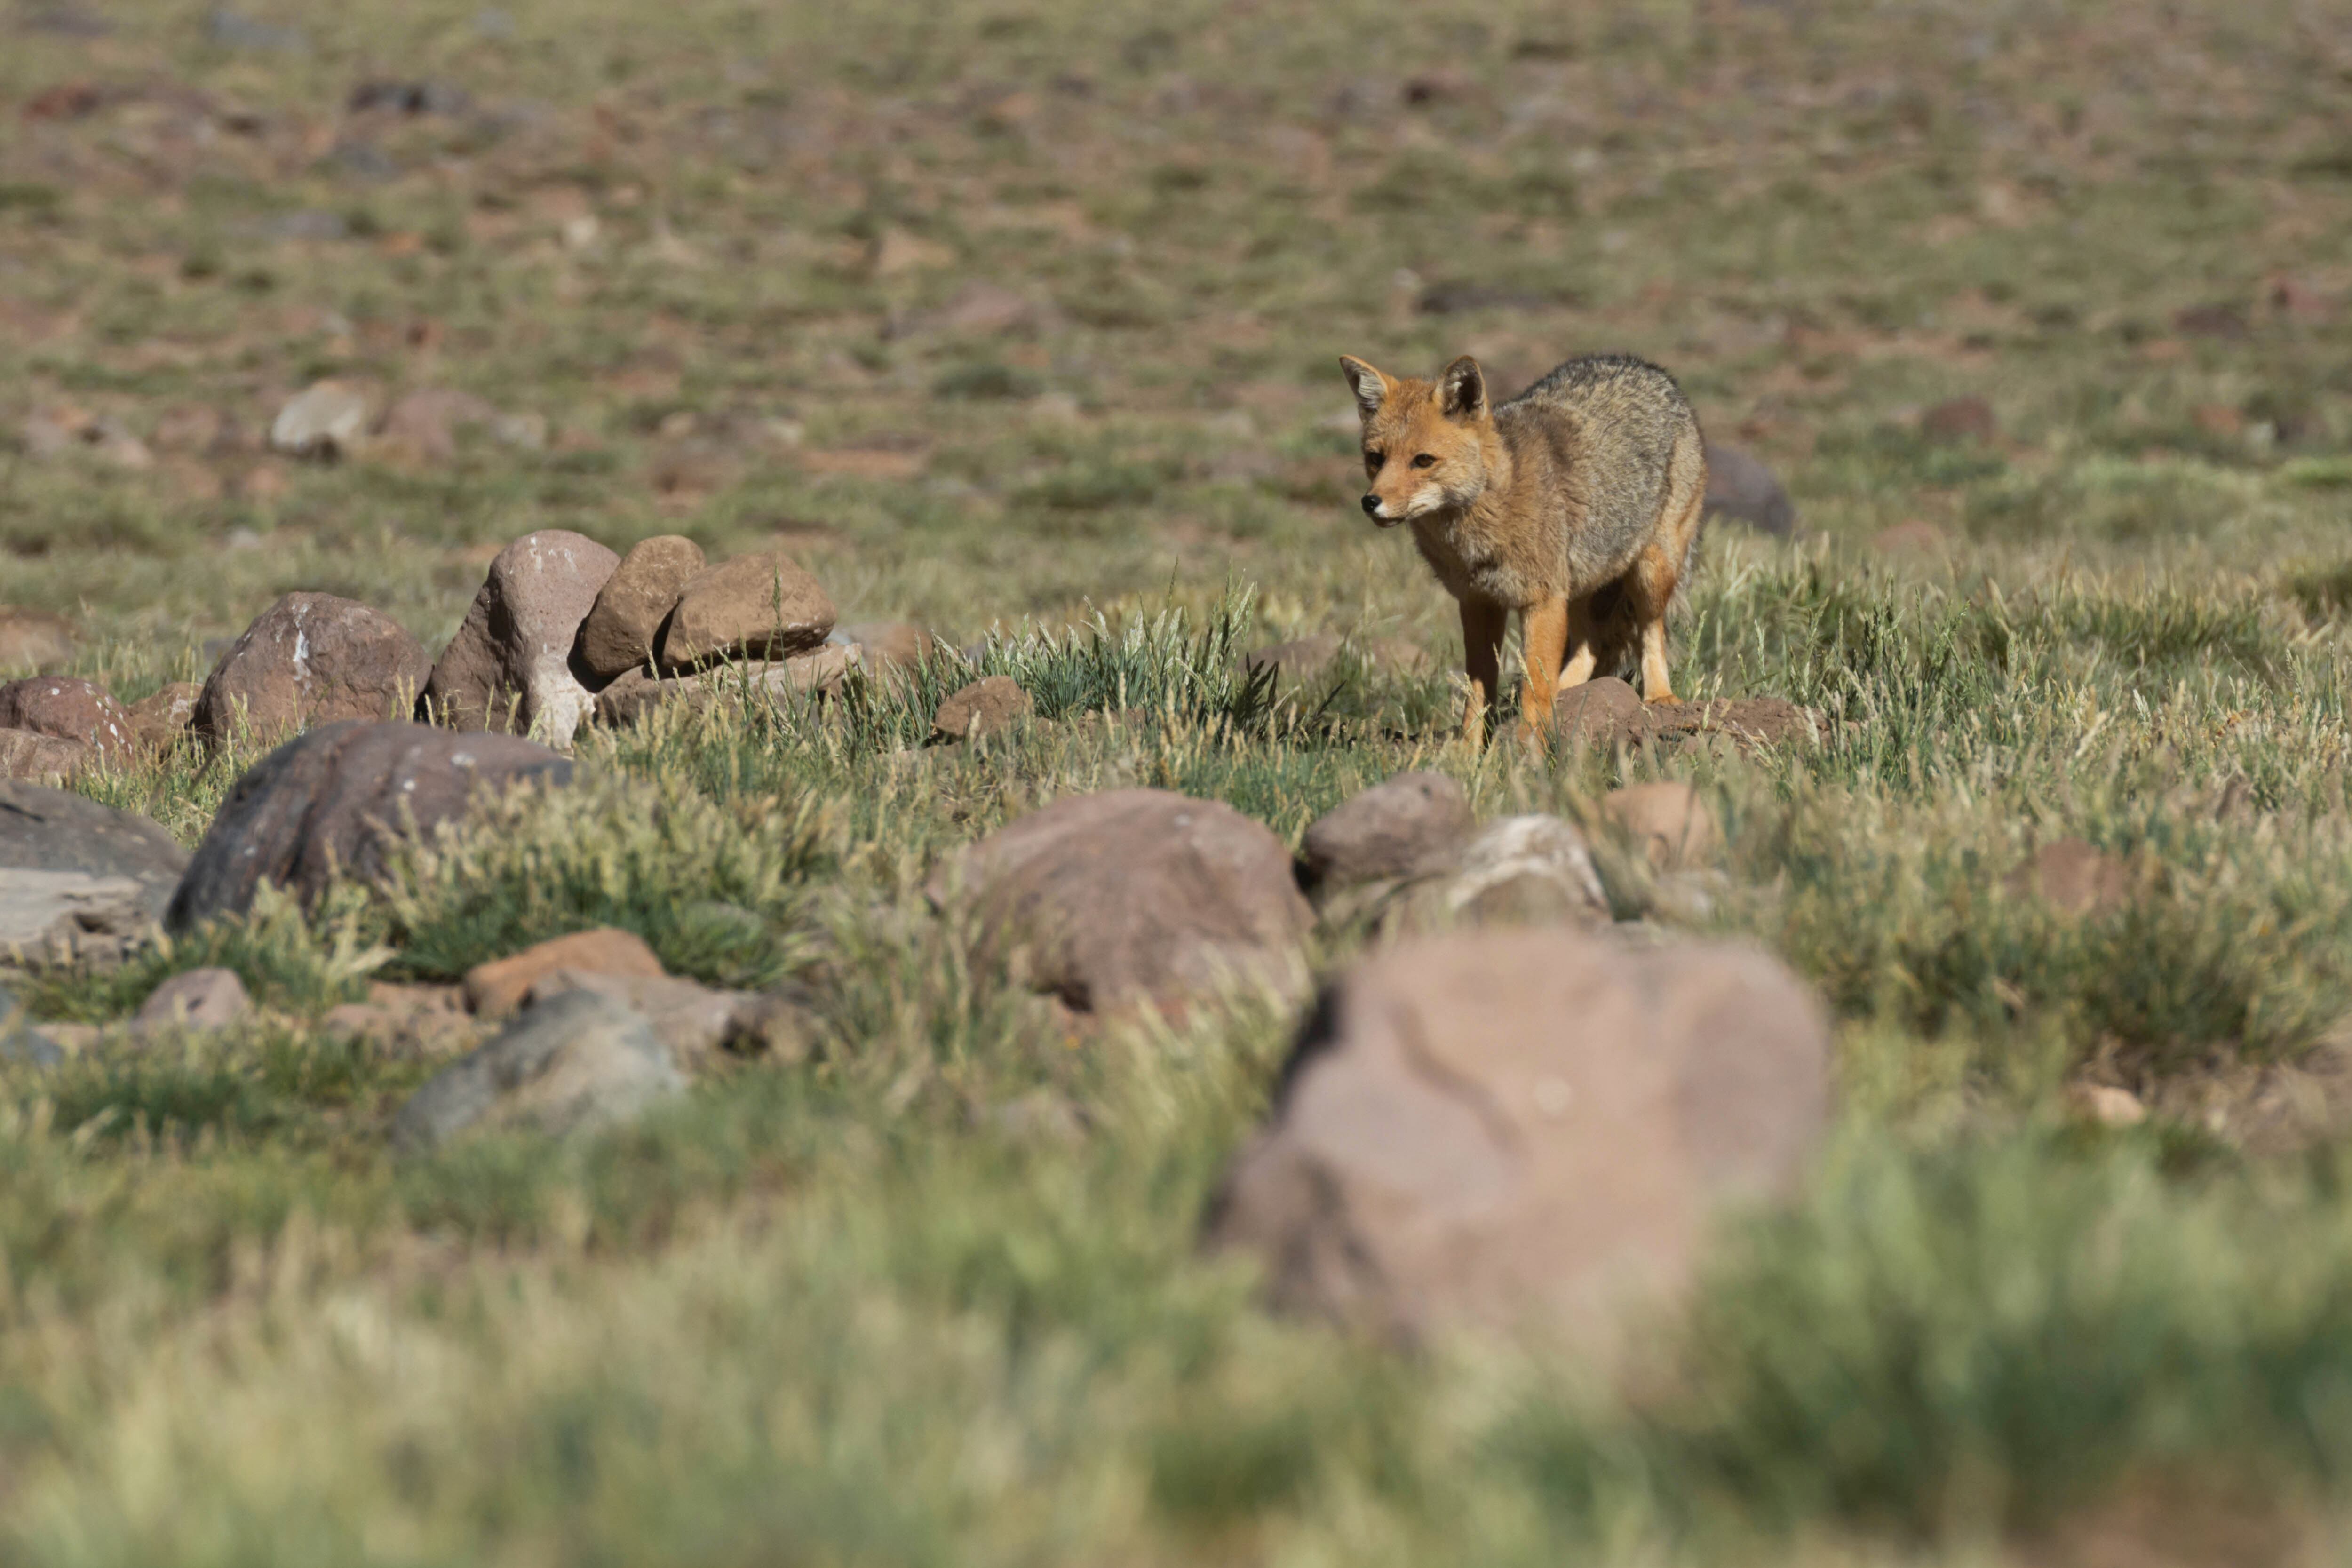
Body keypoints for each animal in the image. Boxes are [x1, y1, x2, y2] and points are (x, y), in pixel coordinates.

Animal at [1345, 352, 1712, 748]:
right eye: (1376, 458)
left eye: (1423, 460)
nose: (1370, 502)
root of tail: (1642, 366)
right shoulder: (1479, 603)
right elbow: (1479, 691)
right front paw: (1468, 752)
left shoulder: (1542, 600)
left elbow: (1535, 686)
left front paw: (1527, 748)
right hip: (1578, 589)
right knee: (1592, 646)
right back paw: (1568, 695)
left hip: (1649, 574)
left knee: (1650, 631)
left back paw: (1659, 696)